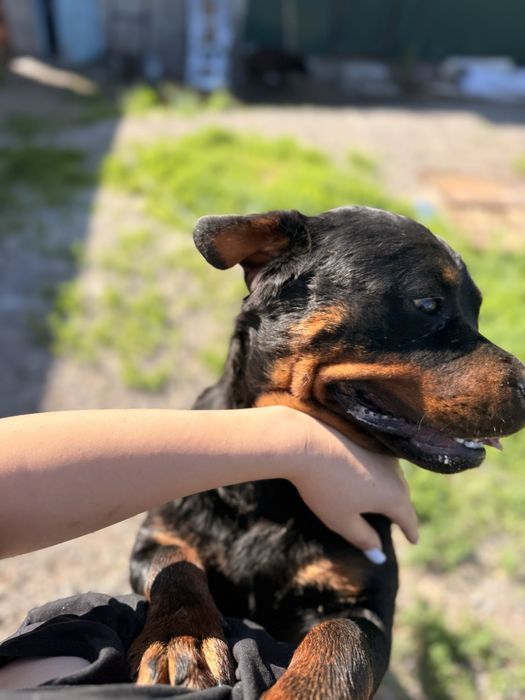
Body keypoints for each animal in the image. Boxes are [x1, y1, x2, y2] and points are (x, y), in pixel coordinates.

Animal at [128, 207, 525, 698]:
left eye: (476, 310)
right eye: (427, 303)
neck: (273, 491)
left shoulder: (364, 603)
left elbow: (341, 637)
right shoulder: (159, 536)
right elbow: (176, 564)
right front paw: (182, 640)